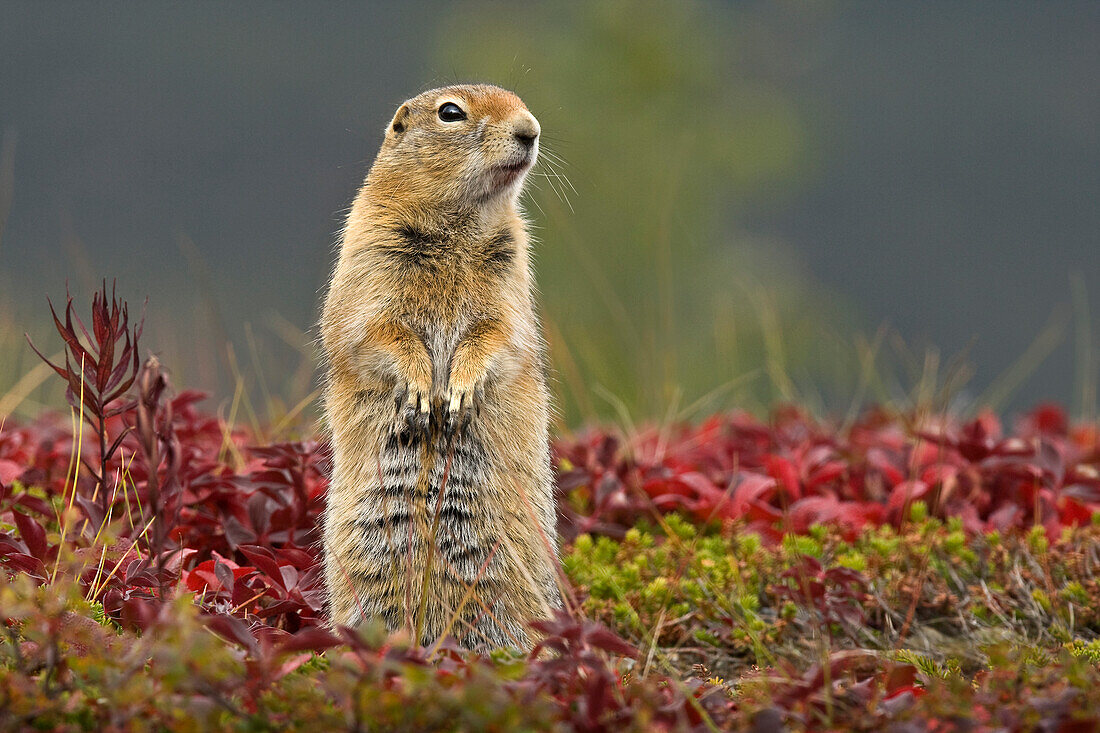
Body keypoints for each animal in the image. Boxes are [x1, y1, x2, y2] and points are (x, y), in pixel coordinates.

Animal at [316, 82, 558, 647]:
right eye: (451, 113)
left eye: (520, 100)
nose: (531, 130)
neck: (459, 225)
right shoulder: (371, 257)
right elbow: (376, 331)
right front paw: (423, 392)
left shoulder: (510, 276)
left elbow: (500, 335)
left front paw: (460, 392)